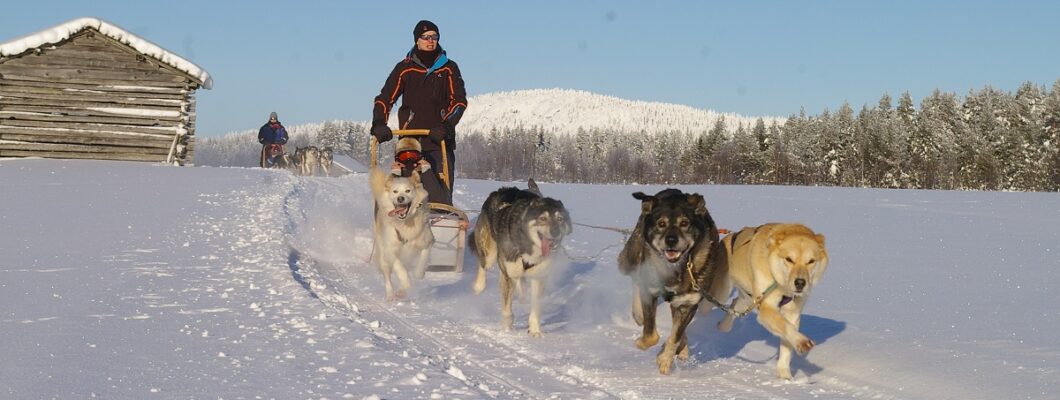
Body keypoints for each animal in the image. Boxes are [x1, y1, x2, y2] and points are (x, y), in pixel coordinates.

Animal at [368, 136, 434, 299]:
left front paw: (417, 275)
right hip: (383, 254)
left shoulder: (427, 242)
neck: (406, 224)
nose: (400, 198)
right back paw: (391, 294)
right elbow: (400, 269)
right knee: (387, 276)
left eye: (408, 190)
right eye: (395, 191)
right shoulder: (391, 250)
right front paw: (406, 282)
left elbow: (421, 263)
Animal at [472, 179, 572, 335]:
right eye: (543, 218)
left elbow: (536, 308)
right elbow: (507, 309)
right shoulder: (509, 274)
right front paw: (507, 328)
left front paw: (535, 331)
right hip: (490, 253)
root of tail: (501, 190)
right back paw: (479, 286)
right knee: (483, 265)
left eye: (560, 219)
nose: (555, 232)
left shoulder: (539, 277)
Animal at [614, 188, 729, 373]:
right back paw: (638, 314)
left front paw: (665, 358)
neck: (675, 268)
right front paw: (642, 343)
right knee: (636, 278)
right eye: (661, 224)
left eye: (684, 223)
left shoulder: (688, 303)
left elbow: (676, 336)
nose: (671, 240)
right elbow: (651, 335)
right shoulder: (650, 292)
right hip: (631, 257)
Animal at [716, 222, 831, 377]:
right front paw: (801, 341)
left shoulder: (792, 312)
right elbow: (783, 325)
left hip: (747, 298)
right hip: (721, 292)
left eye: (811, 261)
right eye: (789, 259)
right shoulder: (766, 307)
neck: (781, 284)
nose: (800, 283)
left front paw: (785, 375)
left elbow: (787, 343)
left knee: (734, 306)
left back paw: (723, 326)